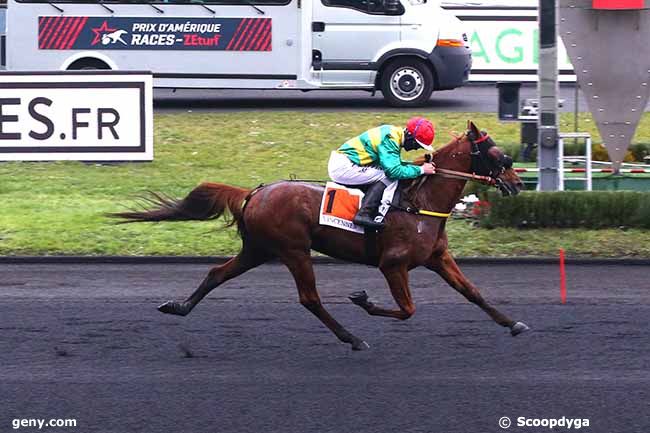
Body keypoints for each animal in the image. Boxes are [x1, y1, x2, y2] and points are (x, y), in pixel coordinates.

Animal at [112, 121, 528, 352]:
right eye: (497, 154)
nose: (517, 183)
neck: (421, 201)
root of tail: (254, 192)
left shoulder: (437, 258)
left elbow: (472, 292)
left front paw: (513, 323)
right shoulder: (393, 265)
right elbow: (408, 309)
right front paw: (363, 300)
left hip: (258, 250)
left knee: (217, 274)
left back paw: (178, 307)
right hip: (294, 250)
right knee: (309, 298)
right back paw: (352, 338)